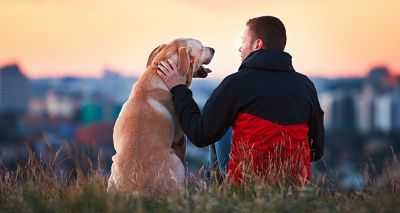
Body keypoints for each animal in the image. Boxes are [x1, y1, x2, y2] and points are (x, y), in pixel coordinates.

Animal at [105, 38, 212, 195]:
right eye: (202, 47)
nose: (214, 50)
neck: (157, 74)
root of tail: (138, 189)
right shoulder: (180, 138)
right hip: (175, 162)